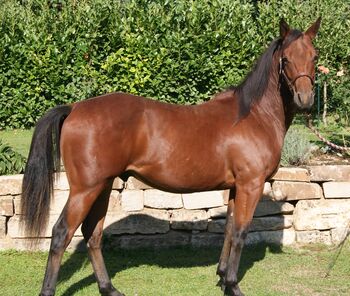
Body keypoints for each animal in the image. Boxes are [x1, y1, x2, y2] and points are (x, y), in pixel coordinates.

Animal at [21, 18, 320, 296]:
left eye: (314, 56)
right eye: (285, 58)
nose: (305, 99)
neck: (253, 115)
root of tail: (74, 108)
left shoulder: (236, 187)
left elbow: (228, 229)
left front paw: (223, 276)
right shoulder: (251, 185)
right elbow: (240, 232)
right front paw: (233, 285)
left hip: (102, 186)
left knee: (92, 234)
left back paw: (109, 288)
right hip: (85, 190)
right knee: (62, 233)